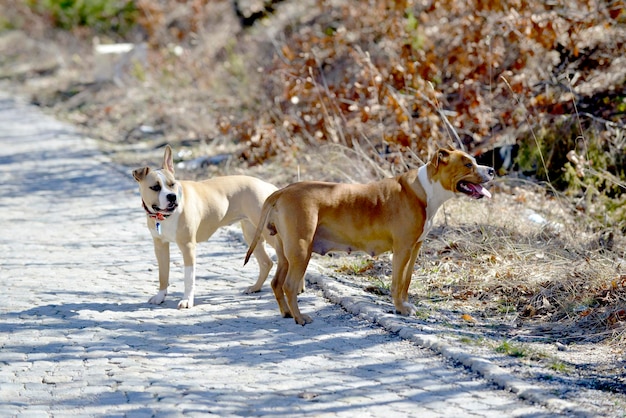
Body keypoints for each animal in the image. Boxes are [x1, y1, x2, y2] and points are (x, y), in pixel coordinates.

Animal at [132, 145, 276, 308]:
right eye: (155, 187)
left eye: (172, 184)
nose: (172, 197)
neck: (164, 217)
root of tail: (267, 185)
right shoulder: (160, 247)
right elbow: (163, 274)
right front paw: (160, 296)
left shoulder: (188, 247)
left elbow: (188, 278)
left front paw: (187, 300)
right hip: (252, 235)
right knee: (266, 262)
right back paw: (255, 287)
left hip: (268, 232)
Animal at [244, 149, 492, 324]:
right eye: (468, 164)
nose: (490, 170)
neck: (427, 189)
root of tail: (282, 190)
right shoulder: (402, 249)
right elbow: (397, 282)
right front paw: (400, 309)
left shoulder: (415, 248)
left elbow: (406, 281)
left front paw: (405, 305)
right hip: (301, 249)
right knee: (289, 285)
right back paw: (299, 318)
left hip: (286, 252)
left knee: (277, 283)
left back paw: (287, 313)